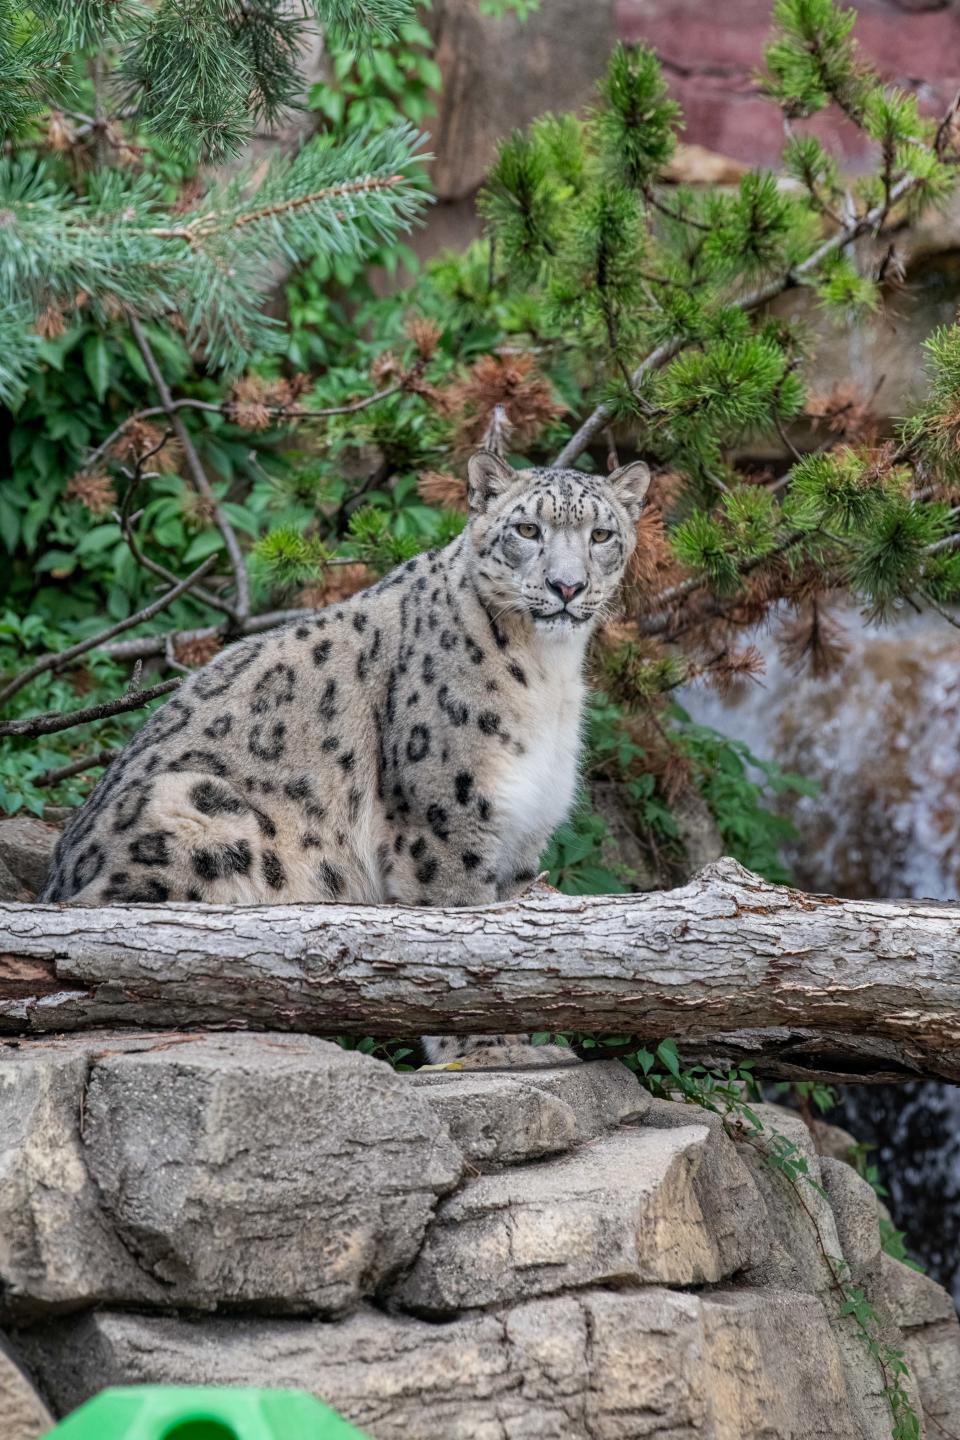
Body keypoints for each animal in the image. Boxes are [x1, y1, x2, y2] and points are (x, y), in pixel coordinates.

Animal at [41, 455, 650, 1065]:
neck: (549, 674)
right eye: (527, 530)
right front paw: (488, 1048)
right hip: (195, 806)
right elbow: (465, 929)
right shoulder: (447, 814)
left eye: (601, 535)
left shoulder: (525, 831)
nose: (567, 586)